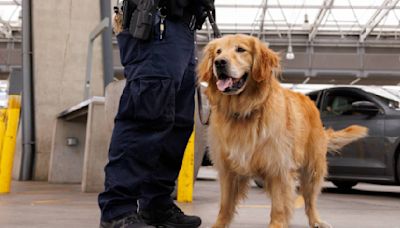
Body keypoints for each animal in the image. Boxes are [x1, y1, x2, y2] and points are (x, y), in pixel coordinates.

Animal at [197, 33, 366, 228]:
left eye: (240, 49)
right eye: (218, 52)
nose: (219, 62)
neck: (245, 110)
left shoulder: (279, 167)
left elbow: (279, 205)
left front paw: (278, 223)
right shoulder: (227, 169)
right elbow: (225, 204)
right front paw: (219, 224)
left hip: (313, 168)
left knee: (310, 200)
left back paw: (316, 220)